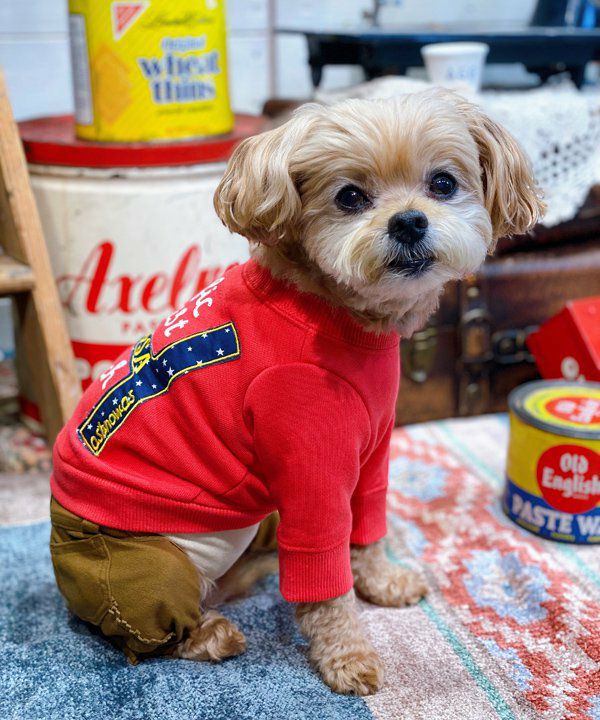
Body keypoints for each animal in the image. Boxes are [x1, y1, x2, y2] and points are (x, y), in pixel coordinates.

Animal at [50, 89, 543, 696]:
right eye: (349, 196)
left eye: (444, 183)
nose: (408, 222)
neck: (333, 312)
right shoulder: (309, 457)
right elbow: (324, 571)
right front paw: (348, 656)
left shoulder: (371, 453)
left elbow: (368, 526)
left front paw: (381, 583)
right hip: (146, 565)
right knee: (147, 627)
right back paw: (212, 633)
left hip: (258, 520)